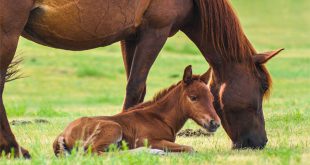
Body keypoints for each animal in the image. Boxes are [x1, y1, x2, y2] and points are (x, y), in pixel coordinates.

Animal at [54, 65, 222, 155]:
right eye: (193, 97)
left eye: (211, 98)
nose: (215, 123)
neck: (159, 118)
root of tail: (62, 134)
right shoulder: (148, 140)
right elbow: (190, 148)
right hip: (113, 128)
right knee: (95, 153)